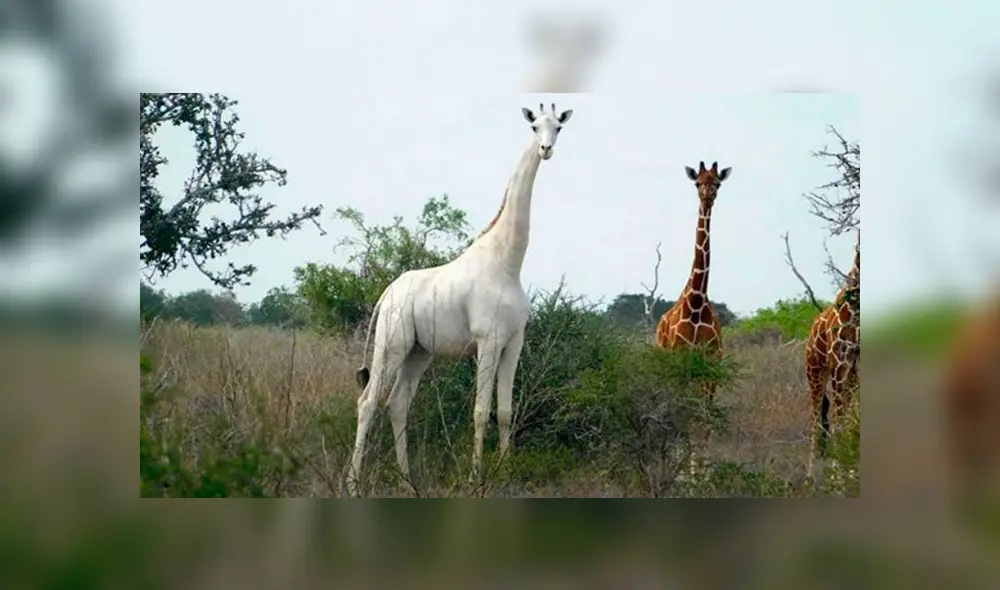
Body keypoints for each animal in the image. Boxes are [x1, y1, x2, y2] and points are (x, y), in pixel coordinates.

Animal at [347, 103, 574, 496]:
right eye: (534, 127)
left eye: (558, 127)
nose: (546, 149)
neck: (508, 263)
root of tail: (386, 295)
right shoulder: (488, 340)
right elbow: (481, 411)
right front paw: (475, 479)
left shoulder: (514, 342)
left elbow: (505, 412)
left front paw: (506, 473)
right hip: (392, 343)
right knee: (368, 402)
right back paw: (353, 485)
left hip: (418, 352)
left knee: (397, 404)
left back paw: (408, 483)